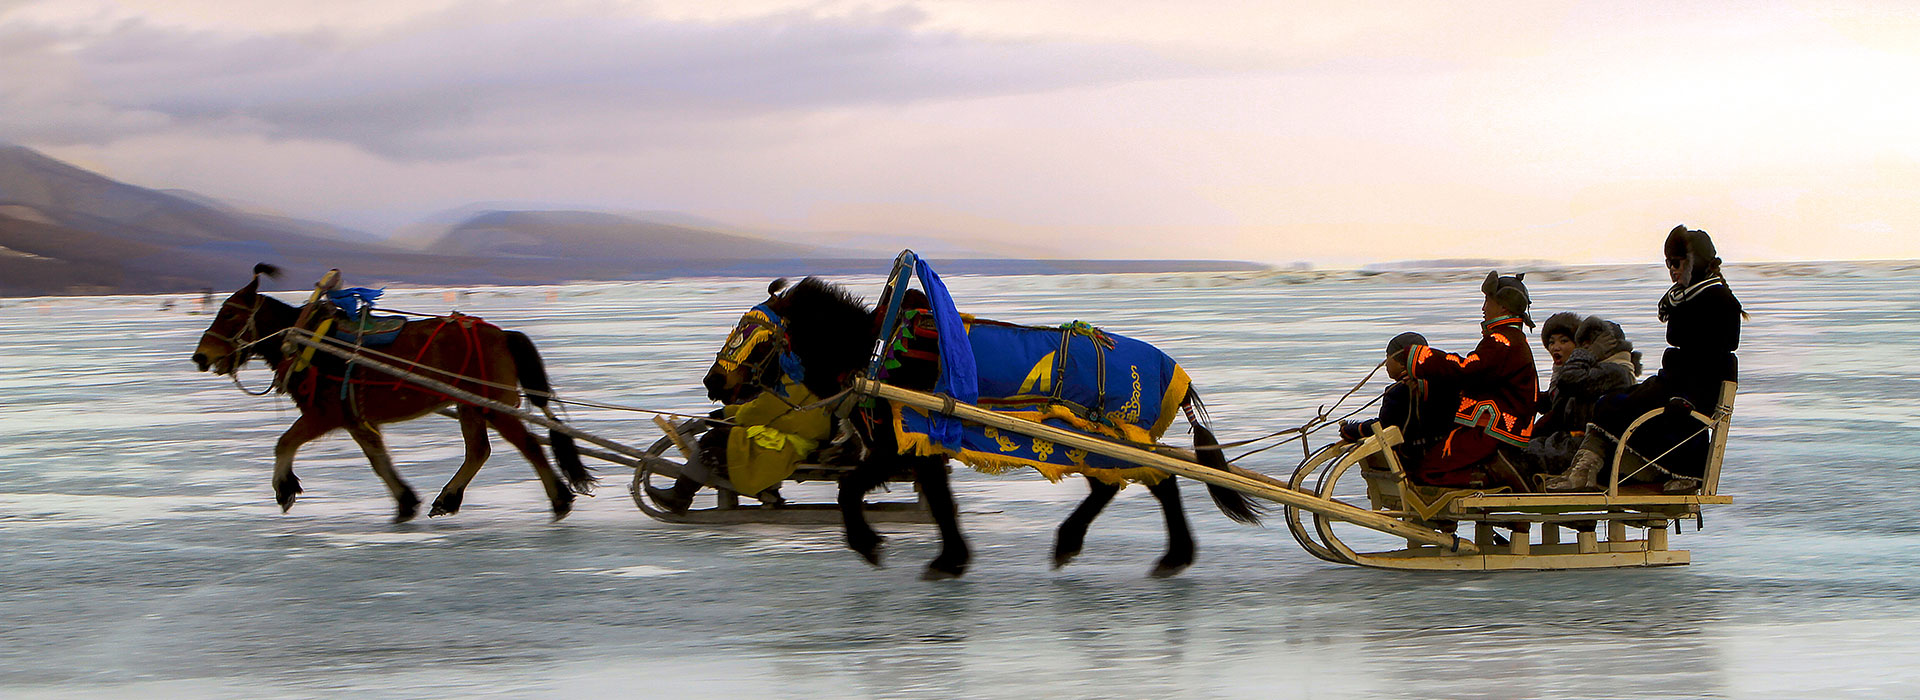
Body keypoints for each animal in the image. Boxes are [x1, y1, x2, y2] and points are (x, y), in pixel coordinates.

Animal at [192, 264, 591, 521]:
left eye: (229, 314)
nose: (201, 356)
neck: (309, 341)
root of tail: (503, 334)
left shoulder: (324, 414)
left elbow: (284, 442)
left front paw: (284, 488)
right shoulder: (354, 418)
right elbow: (379, 460)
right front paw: (405, 501)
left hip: (493, 405)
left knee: (529, 445)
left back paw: (559, 499)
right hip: (469, 405)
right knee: (479, 450)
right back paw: (448, 498)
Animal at [706, 278, 1259, 579]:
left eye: (750, 333)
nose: (713, 382)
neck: (874, 353)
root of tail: (1176, 375)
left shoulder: (896, 448)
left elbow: (850, 490)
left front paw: (870, 544)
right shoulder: (923, 447)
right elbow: (940, 503)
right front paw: (951, 559)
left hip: (1112, 440)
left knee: (1160, 482)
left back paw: (1173, 555)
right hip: (1092, 444)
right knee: (1115, 487)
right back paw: (1072, 542)